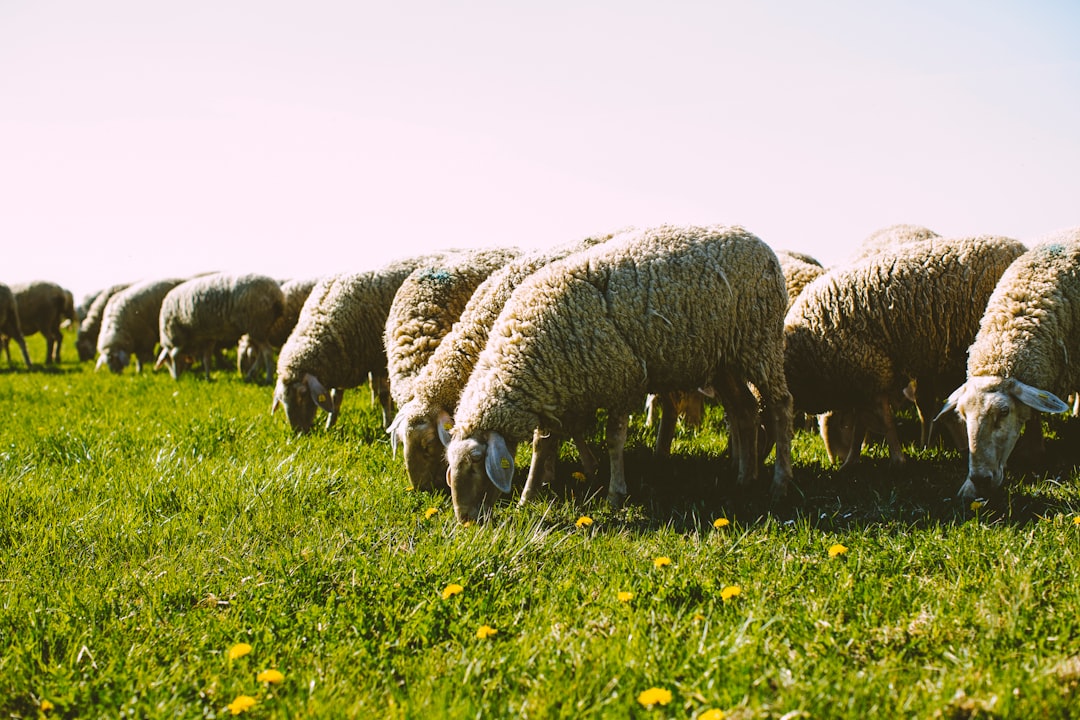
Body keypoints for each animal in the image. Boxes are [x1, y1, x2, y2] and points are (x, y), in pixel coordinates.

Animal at [156, 273, 285, 382]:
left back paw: (268, 378)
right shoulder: (207, 337)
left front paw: (177, 376)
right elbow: (206, 358)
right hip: (261, 327)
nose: (174, 378)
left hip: (256, 324)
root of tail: (276, 294)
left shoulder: (179, 335)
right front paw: (207, 378)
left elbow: (175, 355)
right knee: (261, 354)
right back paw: (250, 375)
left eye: (167, 361)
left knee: (267, 352)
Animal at [271, 252, 451, 434]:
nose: (298, 432)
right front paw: (330, 425)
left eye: (302, 394)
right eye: (283, 399)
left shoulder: (378, 359)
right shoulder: (344, 361)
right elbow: (336, 398)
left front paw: (386, 423)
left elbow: (383, 395)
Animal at [444, 224, 794, 523]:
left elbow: (614, 440)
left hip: (760, 342)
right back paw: (744, 479)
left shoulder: (621, 382)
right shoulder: (557, 392)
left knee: (780, 406)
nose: (465, 520)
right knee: (745, 410)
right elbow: (541, 447)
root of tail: (760, 244)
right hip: (726, 358)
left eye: (475, 464)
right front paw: (526, 498)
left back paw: (779, 484)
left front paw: (615, 494)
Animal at [784, 234, 1027, 468]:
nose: (834, 461)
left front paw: (895, 459)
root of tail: (1019, 247)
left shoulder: (870, 369)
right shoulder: (865, 378)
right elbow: (865, 422)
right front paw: (854, 459)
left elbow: (883, 420)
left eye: (838, 426)